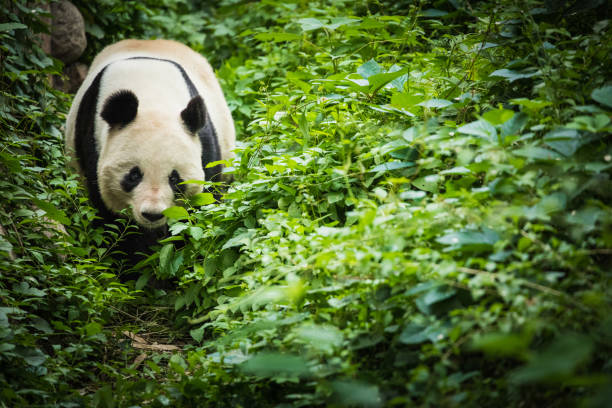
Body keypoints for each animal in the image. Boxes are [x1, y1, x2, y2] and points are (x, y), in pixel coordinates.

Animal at [65, 39, 234, 260]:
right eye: (134, 175)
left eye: (175, 179)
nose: (153, 215)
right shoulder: (92, 140)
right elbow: (113, 220)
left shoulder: (204, 142)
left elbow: (202, 205)